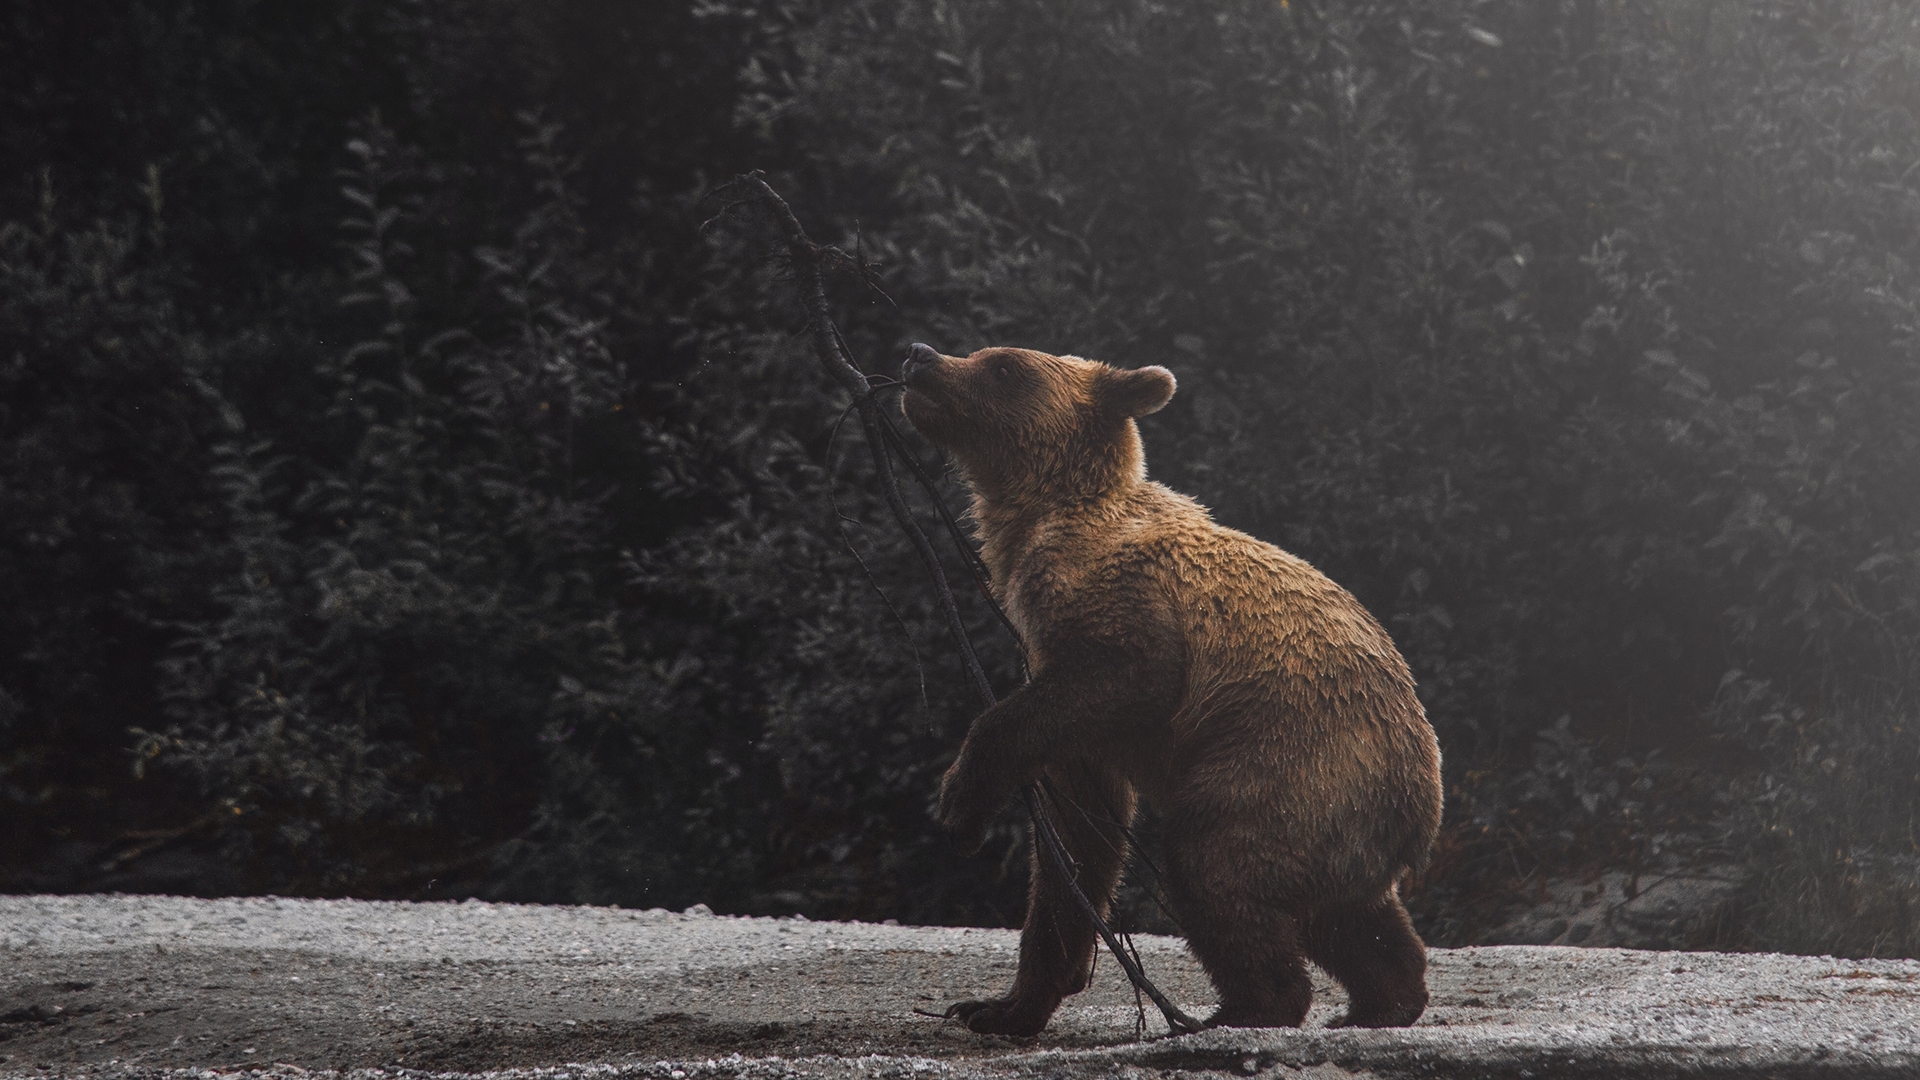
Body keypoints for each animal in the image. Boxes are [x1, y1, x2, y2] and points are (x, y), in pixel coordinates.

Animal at [898, 342, 1443, 1036]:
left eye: (1003, 366)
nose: (920, 356)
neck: (1033, 531)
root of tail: (1422, 812)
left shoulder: (1122, 614)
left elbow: (1122, 681)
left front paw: (960, 809)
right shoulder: (1056, 687)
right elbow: (1076, 843)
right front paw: (1000, 1005)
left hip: (1294, 764)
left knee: (1213, 862)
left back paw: (1244, 1007)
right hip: (1341, 824)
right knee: (1350, 916)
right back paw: (1382, 999)